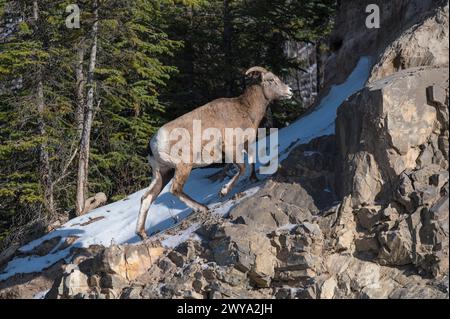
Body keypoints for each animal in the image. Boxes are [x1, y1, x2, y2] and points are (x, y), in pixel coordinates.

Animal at [135, 67, 294, 240]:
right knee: (175, 189)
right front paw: (223, 191)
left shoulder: (245, 145)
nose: (290, 91)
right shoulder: (231, 148)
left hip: (163, 173)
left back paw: (142, 233)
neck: (244, 109)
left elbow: (251, 161)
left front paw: (254, 179)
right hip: (183, 166)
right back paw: (203, 208)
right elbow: (242, 168)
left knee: (146, 197)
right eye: (271, 80)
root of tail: (153, 144)